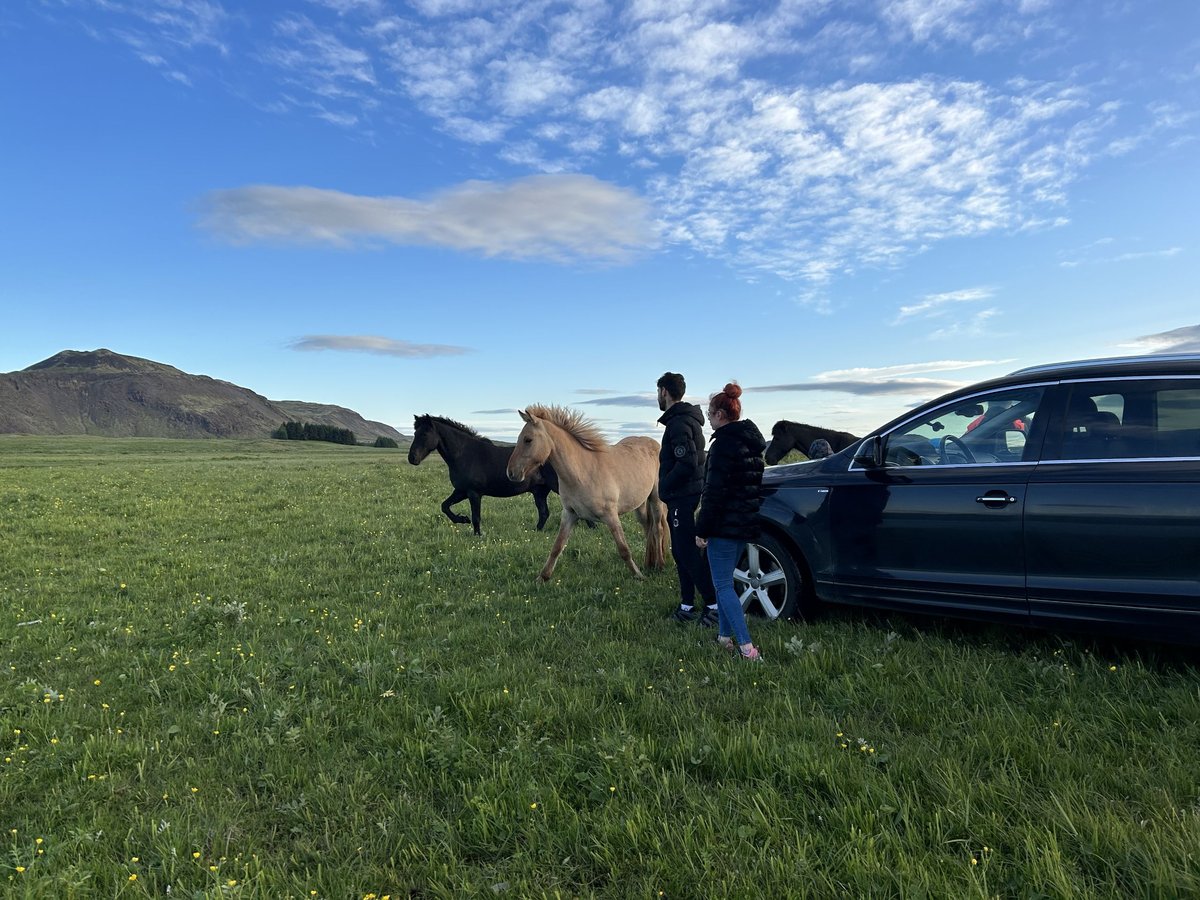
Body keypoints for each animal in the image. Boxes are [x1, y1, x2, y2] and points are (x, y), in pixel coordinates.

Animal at [408, 415, 556, 535]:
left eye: (425, 434)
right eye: (415, 433)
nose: (412, 458)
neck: (464, 454)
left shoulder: (474, 493)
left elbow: (476, 517)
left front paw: (478, 535)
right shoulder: (461, 491)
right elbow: (445, 506)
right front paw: (463, 519)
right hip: (539, 491)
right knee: (544, 513)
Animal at [504, 403, 667, 585]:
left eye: (528, 440)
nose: (511, 473)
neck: (583, 472)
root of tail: (654, 444)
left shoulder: (611, 516)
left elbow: (624, 549)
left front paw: (638, 575)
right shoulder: (569, 514)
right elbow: (557, 547)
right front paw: (543, 577)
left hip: (656, 500)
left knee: (658, 529)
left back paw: (659, 565)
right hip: (640, 505)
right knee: (648, 528)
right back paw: (648, 563)